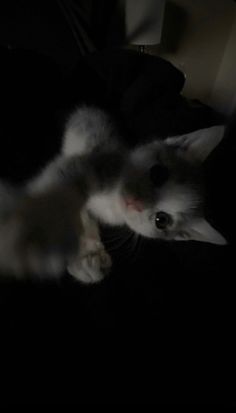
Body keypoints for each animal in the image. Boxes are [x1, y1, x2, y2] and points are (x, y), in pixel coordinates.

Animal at [0, 104, 227, 282]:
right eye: (158, 173)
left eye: (161, 220)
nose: (135, 202)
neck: (111, 204)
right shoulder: (97, 162)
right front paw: (38, 223)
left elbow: (84, 219)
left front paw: (88, 260)